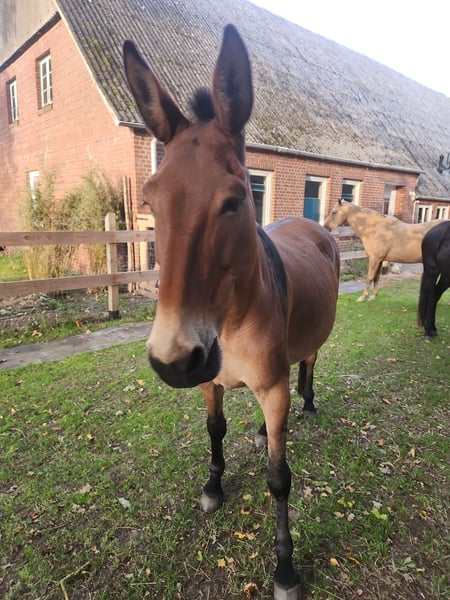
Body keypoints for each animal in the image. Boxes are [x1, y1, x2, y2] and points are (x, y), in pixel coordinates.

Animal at [124, 24, 340, 600]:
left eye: (236, 200)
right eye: (150, 201)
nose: (172, 359)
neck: (234, 321)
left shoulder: (271, 385)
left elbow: (279, 479)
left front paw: (285, 569)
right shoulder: (210, 380)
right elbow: (215, 432)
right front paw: (214, 486)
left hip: (307, 350)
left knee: (308, 363)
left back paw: (307, 402)